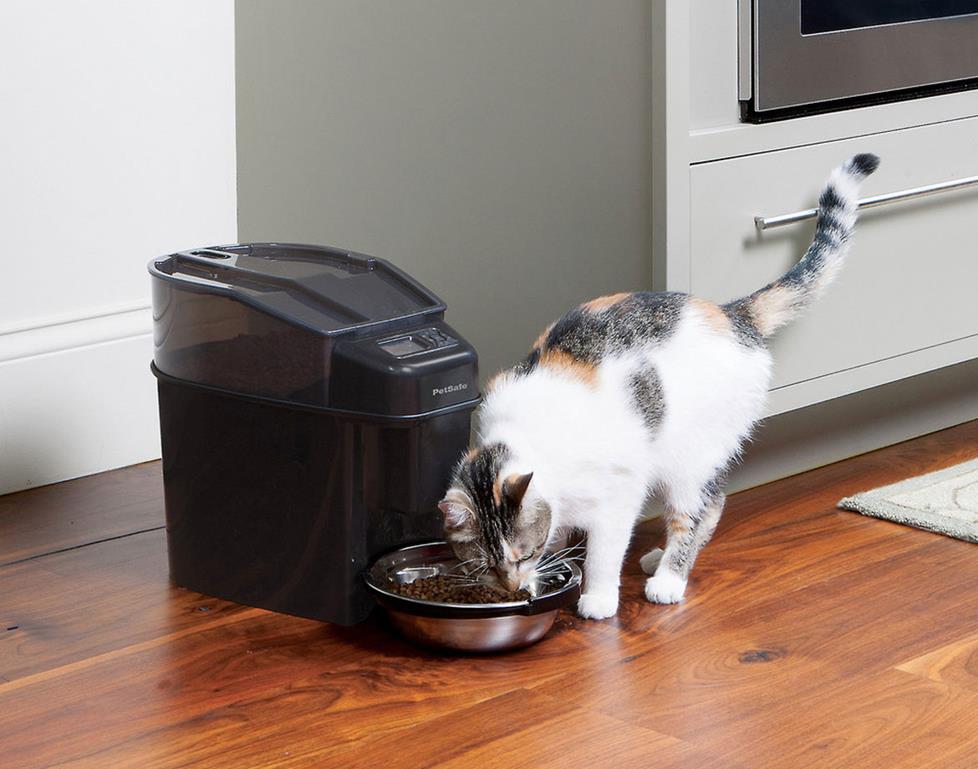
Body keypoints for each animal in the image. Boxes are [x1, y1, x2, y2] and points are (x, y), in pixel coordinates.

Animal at [436, 153, 876, 616]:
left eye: (521, 554)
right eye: (484, 566)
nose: (512, 584)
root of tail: (730, 313)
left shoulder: (619, 494)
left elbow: (604, 551)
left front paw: (596, 597)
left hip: (690, 458)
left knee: (694, 513)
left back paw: (668, 578)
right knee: (713, 503)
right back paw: (659, 559)